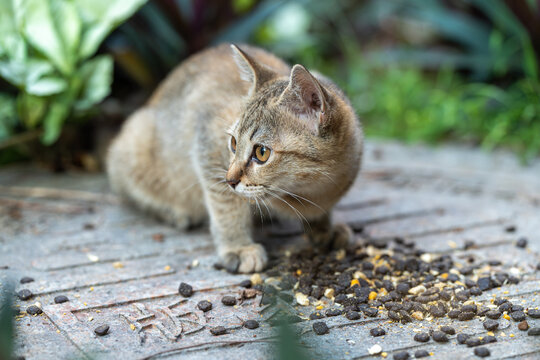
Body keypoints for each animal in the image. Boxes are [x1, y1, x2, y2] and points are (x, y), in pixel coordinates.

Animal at [106, 43, 362, 272]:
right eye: (233, 143)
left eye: (261, 152)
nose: (230, 180)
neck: (313, 191)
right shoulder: (207, 146)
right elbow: (225, 206)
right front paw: (238, 247)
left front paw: (324, 229)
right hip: (133, 144)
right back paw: (176, 212)